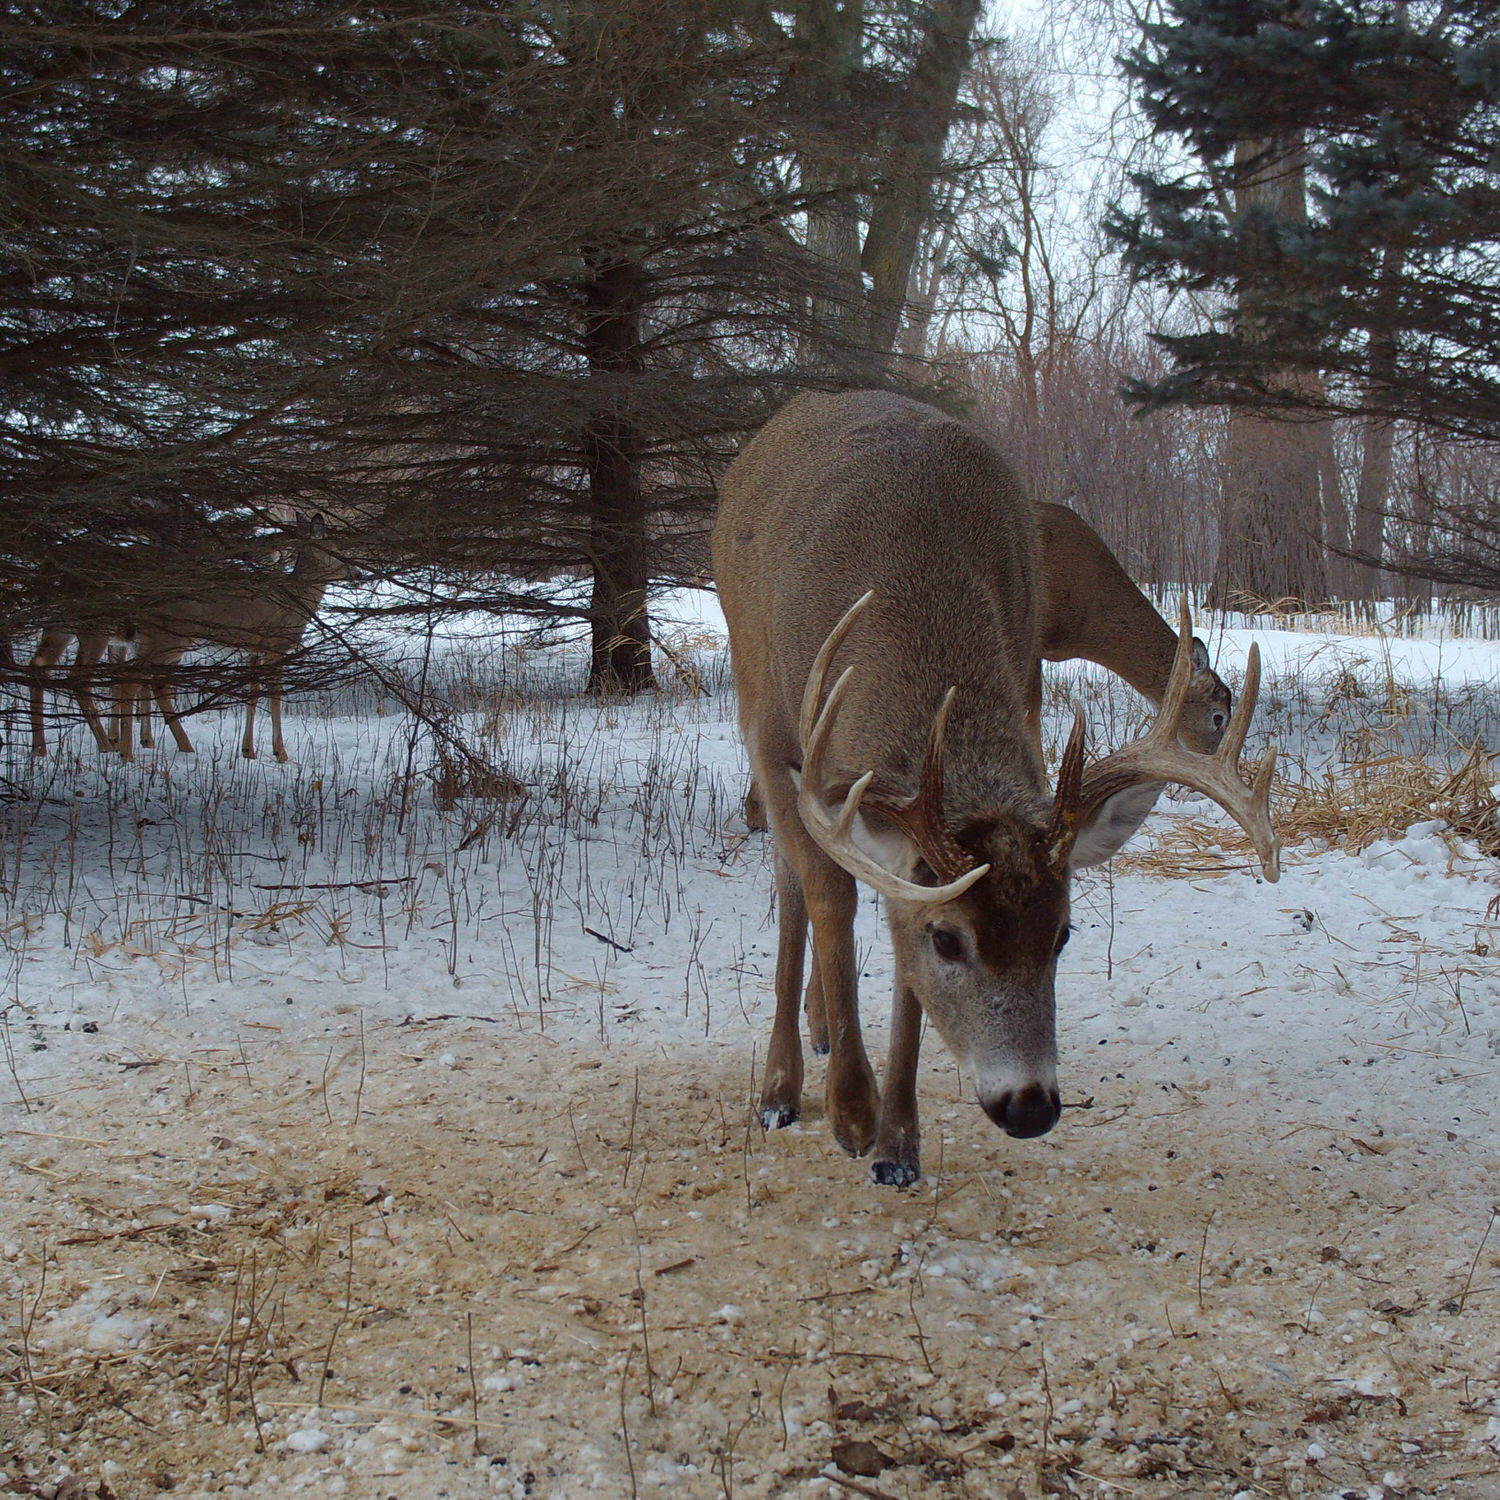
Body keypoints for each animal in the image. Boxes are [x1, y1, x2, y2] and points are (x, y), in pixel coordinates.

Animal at [708, 393, 1272, 1188]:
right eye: (948, 938)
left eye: (1063, 933)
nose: (1029, 1105)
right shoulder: (782, 742)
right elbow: (831, 895)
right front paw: (851, 1111)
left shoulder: (1026, 670)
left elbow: (894, 934)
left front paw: (898, 1143)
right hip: (750, 682)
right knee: (794, 889)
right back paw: (784, 1083)